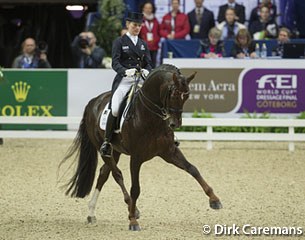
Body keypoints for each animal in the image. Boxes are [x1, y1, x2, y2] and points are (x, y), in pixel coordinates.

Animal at [60, 63, 221, 231]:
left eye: (187, 96)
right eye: (174, 95)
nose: (175, 124)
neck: (151, 118)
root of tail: (93, 101)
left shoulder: (169, 152)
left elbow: (192, 169)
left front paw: (214, 200)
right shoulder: (136, 158)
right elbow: (135, 188)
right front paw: (132, 221)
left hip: (115, 151)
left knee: (104, 173)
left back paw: (92, 213)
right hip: (104, 150)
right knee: (116, 174)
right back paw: (131, 209)